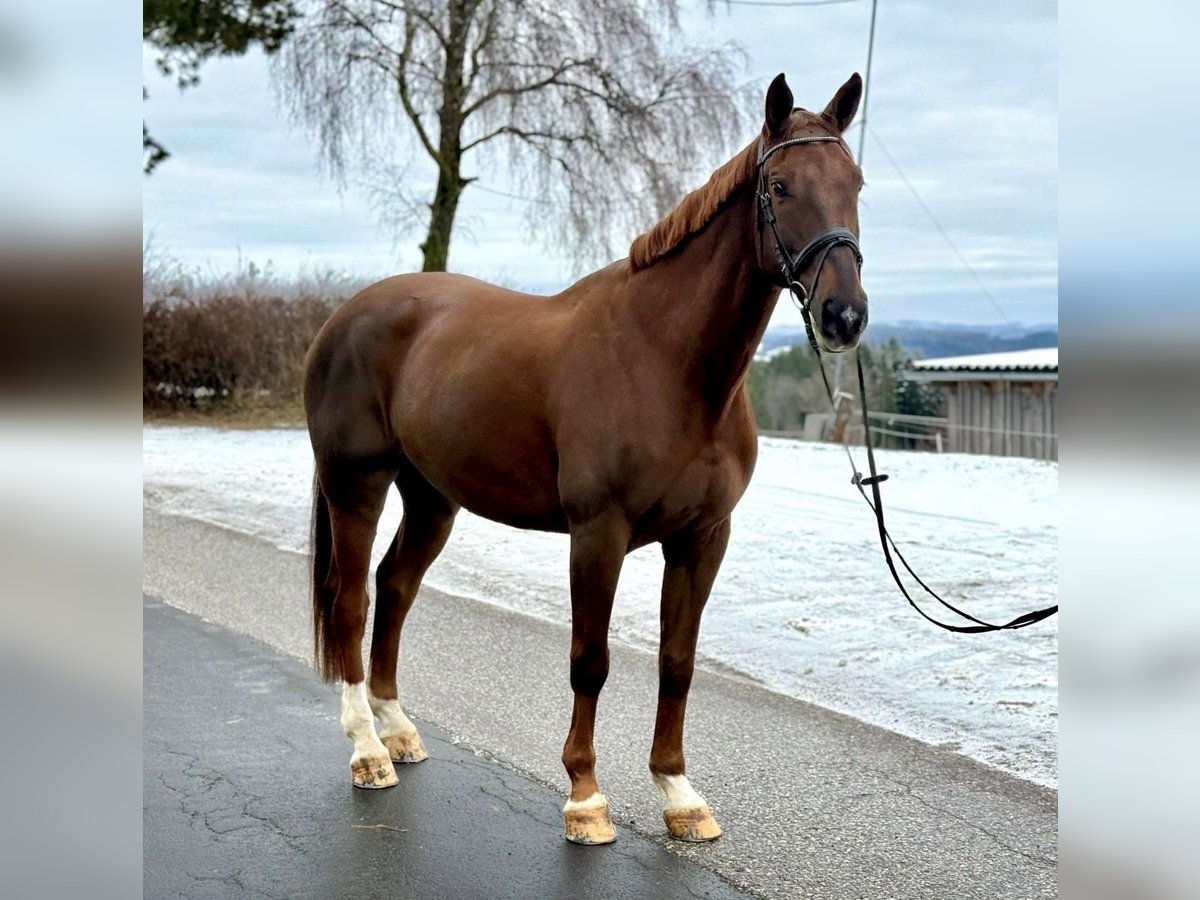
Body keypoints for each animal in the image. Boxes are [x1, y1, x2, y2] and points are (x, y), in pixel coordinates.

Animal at [303, 71, 868, 845]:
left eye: (857, 184)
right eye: (779, 186)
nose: (845, 316)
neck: (666, 361)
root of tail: (343, 316)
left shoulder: (703, 539)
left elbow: (677, 662)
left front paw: (679, 795)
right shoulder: (598, 534)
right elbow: (590, 661)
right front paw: (585, 797)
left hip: (432, 499)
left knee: (394, 588)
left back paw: (398, 732)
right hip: (355, 483)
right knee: (352, 600)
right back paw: (367, 750)